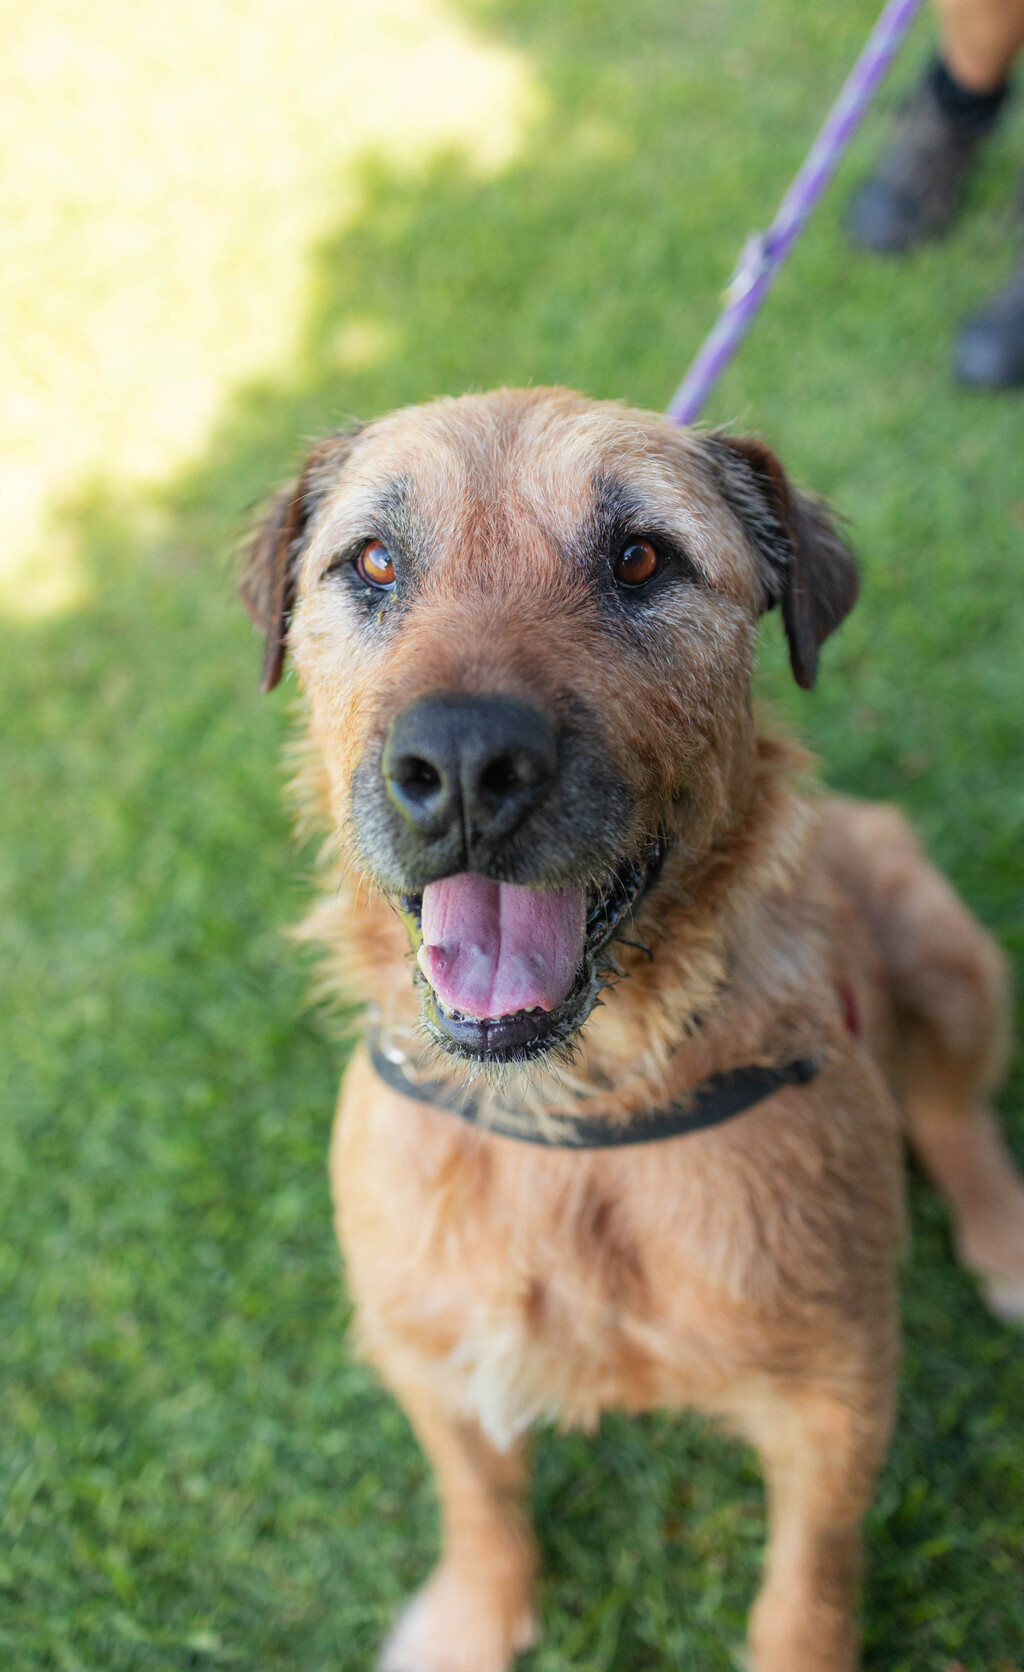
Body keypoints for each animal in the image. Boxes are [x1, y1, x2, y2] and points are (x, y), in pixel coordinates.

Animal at [242, 387, 1024, 1672]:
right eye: (374, 561)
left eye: (641, 558)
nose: (463, 762)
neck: (573, 1113)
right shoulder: (425, 1352)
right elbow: (478, 1498)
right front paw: (474, 1617)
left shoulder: (837, 1383)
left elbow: (809, 1575)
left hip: (944, 947)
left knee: (956, 1116)